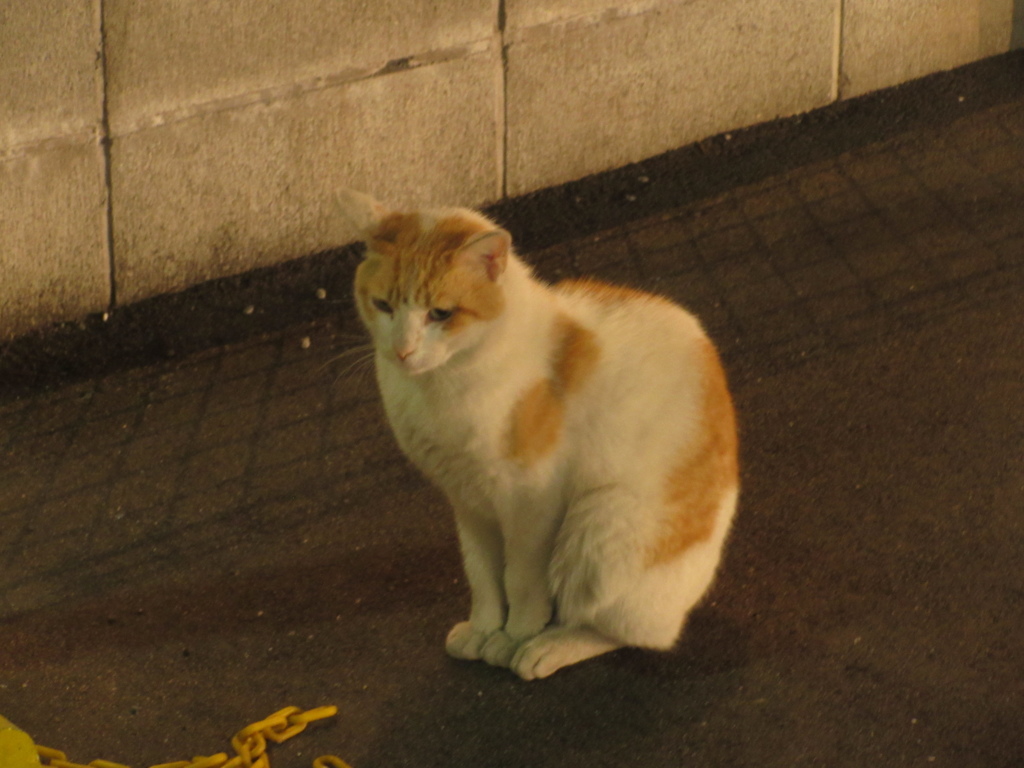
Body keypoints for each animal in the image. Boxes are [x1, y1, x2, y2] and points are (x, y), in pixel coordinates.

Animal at [342, 189, 737, 684]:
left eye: (440, 314)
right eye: (383, 306)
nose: (402, 350)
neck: (438, 385)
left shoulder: (530, 501)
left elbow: (521, 578)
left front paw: (516, 635)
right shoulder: (467, 501)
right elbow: (482, 573)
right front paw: (484, 627)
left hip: (598, 527)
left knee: (628, 631)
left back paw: (550, 645)